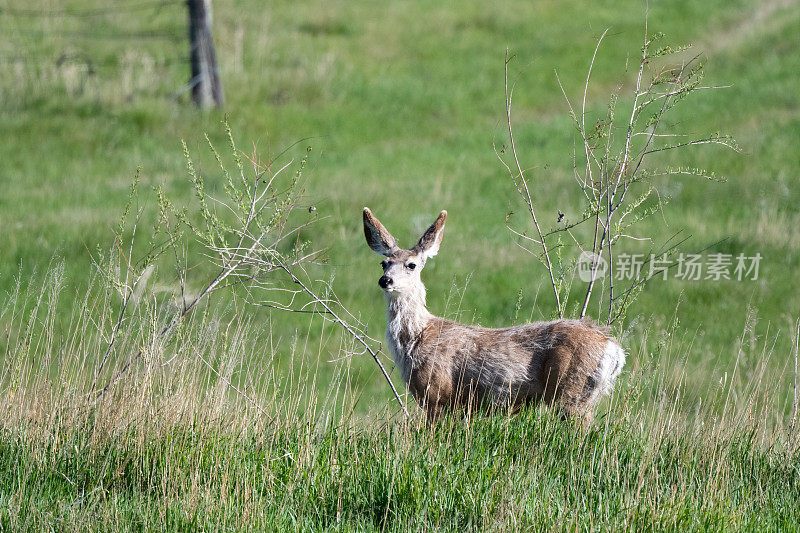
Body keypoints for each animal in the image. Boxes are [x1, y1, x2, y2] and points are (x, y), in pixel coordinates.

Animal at [362, 208, 624, 424]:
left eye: (412, 264)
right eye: (384, 263)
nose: (386, 280)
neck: (417, 339)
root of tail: (614, 349)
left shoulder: (436, 395)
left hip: (573, 391)